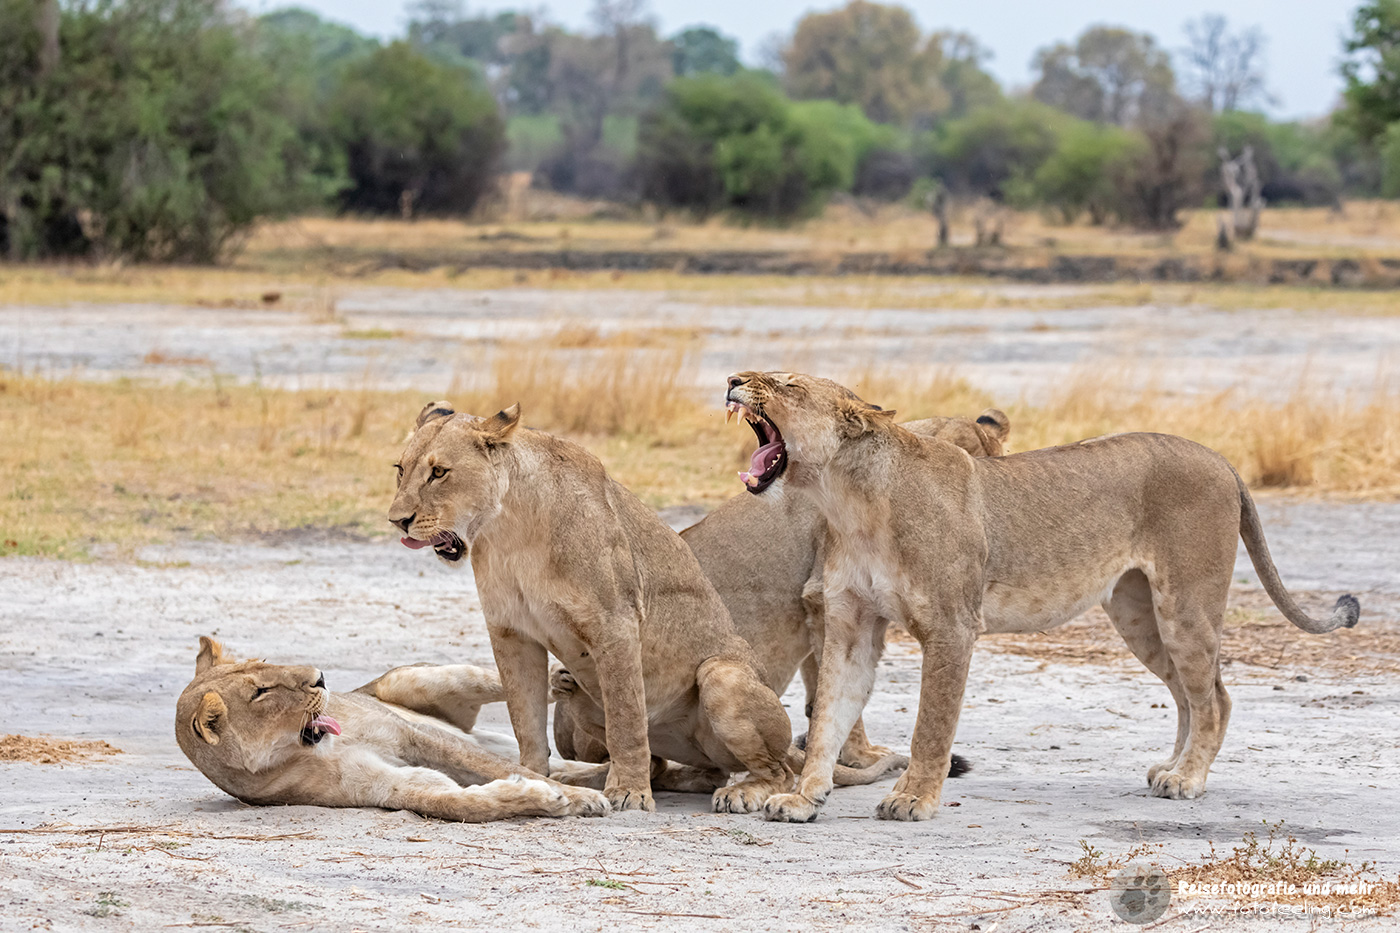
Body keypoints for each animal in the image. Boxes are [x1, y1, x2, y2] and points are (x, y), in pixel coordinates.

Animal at [174, 637, 609, 821]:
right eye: (261, 692)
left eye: (263, 663)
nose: (320, 677)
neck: (313, 748)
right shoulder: (383, 787)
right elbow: (457, 803)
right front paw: (549, 798)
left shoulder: (413, 734)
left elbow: (502, 768)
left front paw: (582, 799)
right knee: (556, 764)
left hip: (408, 681)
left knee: (512, 685)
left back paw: (562, 679)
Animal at [388, 403, 798, 814]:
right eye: (401, 470)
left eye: (439, 472)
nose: (397, 521)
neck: (508, 529)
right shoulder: (511, 632)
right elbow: (525, 719)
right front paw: (532, 777)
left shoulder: (615, 625)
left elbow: (626, 720)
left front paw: (629, 792)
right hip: (576, 693)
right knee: (670, 765)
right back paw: (586, 778)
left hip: (720, 674)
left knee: (776, 771)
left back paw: (742, 792)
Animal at [721, 371, 1360, 823]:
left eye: (788, 385)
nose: (731, 379)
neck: (848, 499)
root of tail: (1221, 459)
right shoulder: (851, 625)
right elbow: (830, 715)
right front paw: (803, 798)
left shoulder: (952, 626)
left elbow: (932, 723)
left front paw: (913, 800)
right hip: (1139, 615)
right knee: (1187, 694)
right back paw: (1172, 768)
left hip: (1187, 605)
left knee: (1216, 698)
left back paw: (1189, 780)